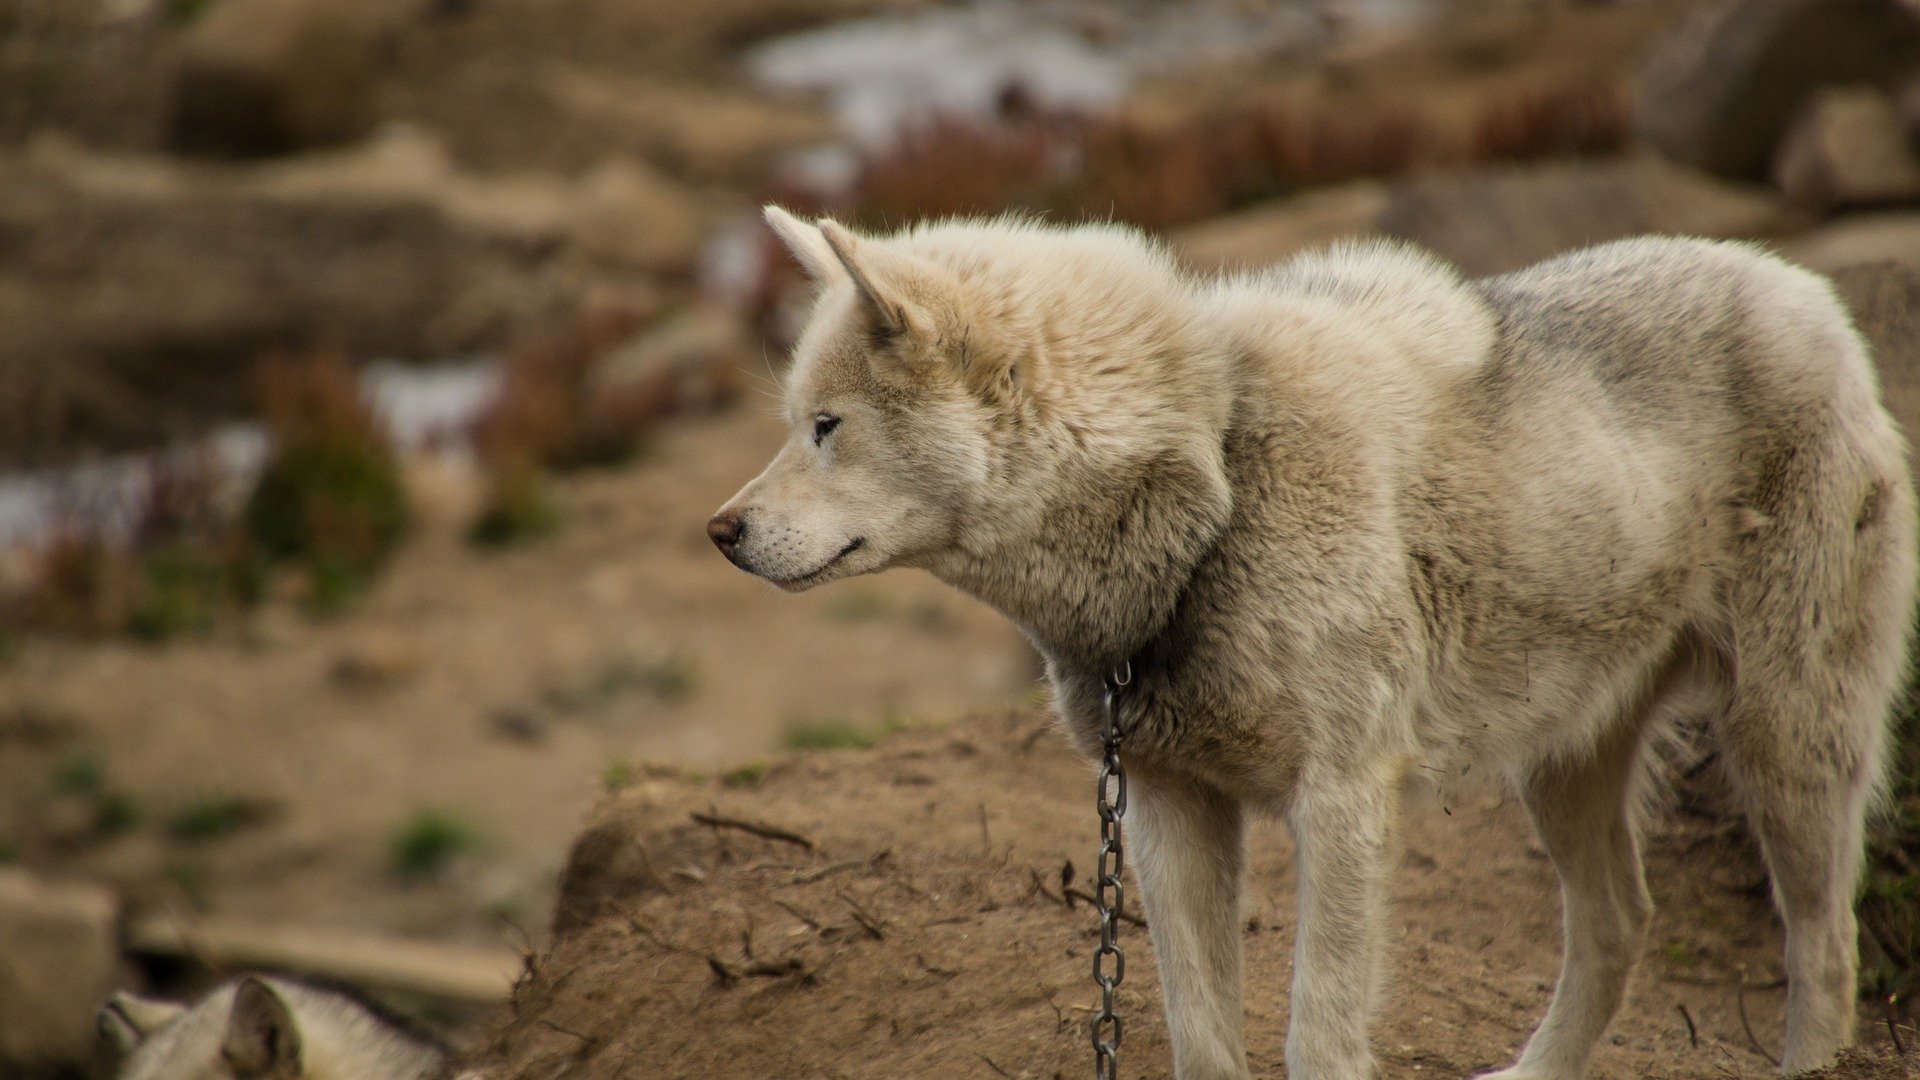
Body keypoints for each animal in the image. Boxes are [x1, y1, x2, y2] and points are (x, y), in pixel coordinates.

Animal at [714, 205, 1912, 1068]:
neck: (1219, 481)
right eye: (794, 425)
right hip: (1564, 767)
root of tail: (1803, 286)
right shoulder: (1167, 810)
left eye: (826, 428)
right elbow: (1202, 1038)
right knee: (1622, 924)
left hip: (1785, 747)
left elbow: (1318, 1034)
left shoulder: (1337, 803)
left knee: (1827, 944)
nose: (720, 532)